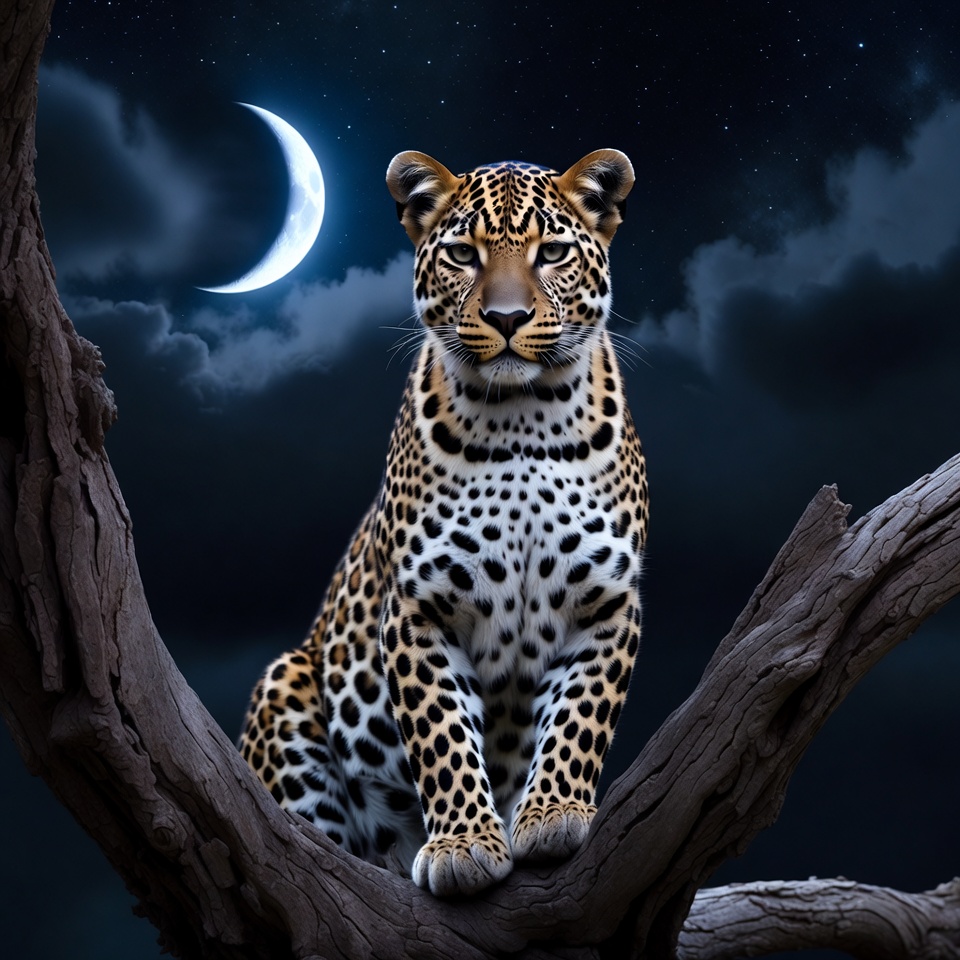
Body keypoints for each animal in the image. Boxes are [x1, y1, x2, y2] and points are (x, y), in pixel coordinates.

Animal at [238, 148, 649, 897]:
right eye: (463, 253)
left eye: (552, 253)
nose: (508, 317)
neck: (524, 421)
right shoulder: (419, 605)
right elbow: (441, 731)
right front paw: (463, 842)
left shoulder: (606, 599)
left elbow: (582, 714)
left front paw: (553, 814)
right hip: (287, 692)